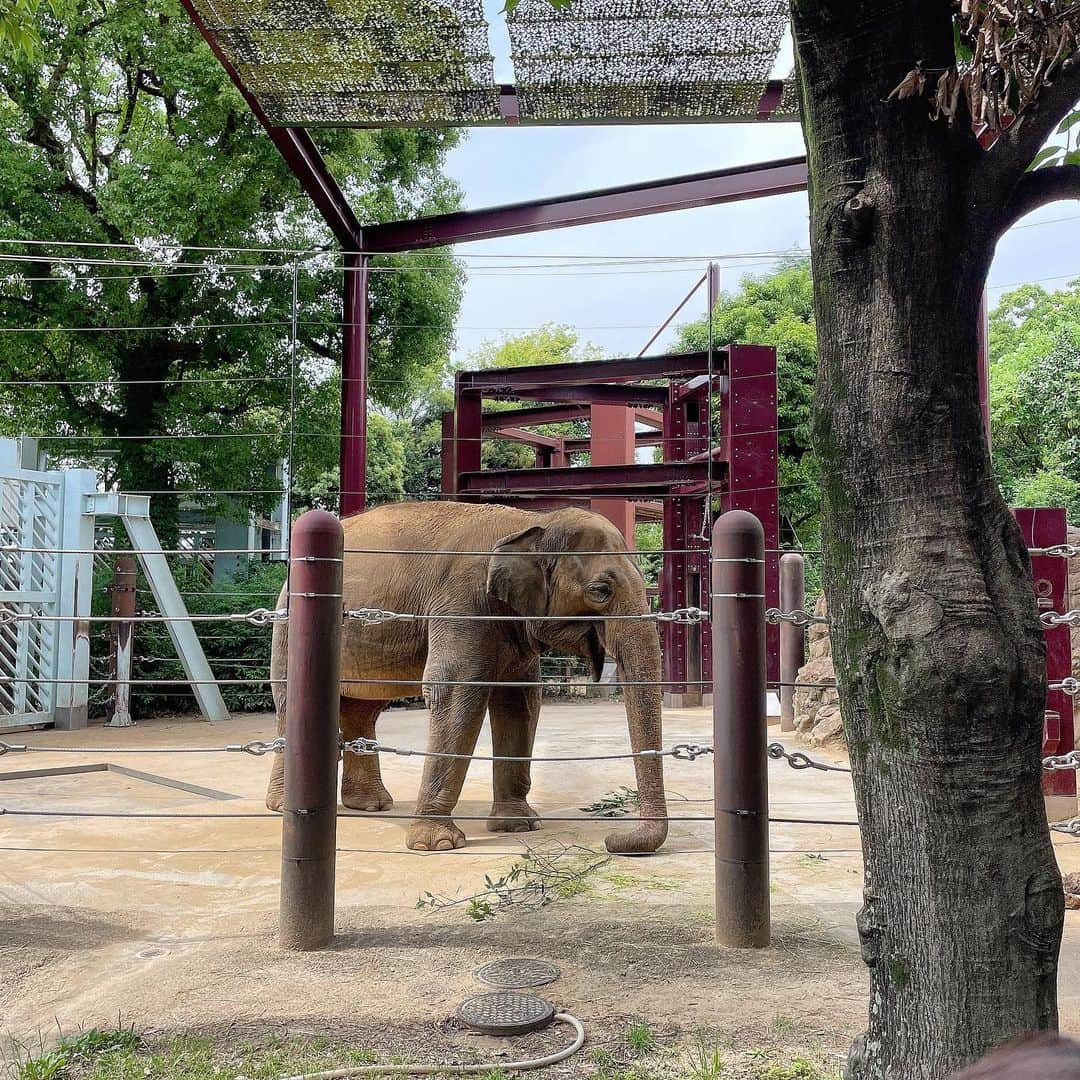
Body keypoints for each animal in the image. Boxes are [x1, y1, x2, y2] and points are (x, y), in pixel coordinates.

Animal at [263, 501, 665, 855]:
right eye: (600, 592)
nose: (613, 839)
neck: (531, 522)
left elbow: (520, 702)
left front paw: (518, 825)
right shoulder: (462, 603)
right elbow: (456, 692)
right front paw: (436, 844)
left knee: (364, 707)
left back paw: (371, 805)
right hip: (288, 619)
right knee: (290, 700)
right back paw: (284, 806)